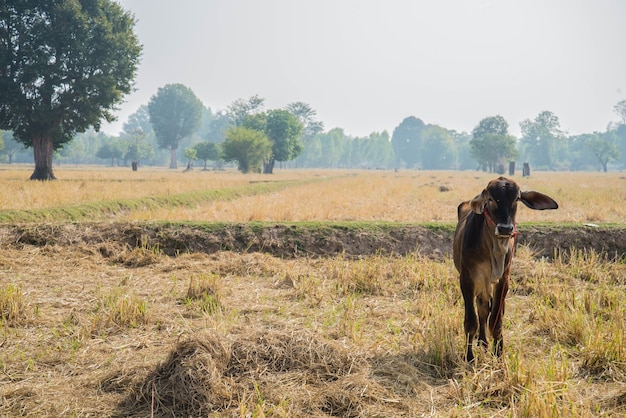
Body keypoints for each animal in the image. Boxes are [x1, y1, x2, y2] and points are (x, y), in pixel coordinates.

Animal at [450, 176, 560, 362]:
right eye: (490, 199)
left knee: (486, 310)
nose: (505, 228)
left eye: (516, 199)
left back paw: (485, 342)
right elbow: (471, 321)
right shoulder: (467, 279)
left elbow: (496, 320)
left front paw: (499, 354)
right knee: (481, 309)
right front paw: (469, 357)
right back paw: (482, 342)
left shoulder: (503, 280)